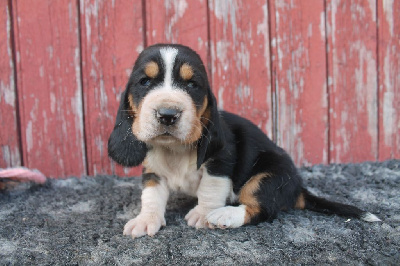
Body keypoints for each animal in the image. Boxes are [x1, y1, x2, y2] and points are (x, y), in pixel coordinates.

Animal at [107, 43, 382, 239]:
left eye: (192, 85)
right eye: (144, 82)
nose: (167, 114)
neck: (175, 150)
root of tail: (297, 189)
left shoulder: (221, 161)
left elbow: (210, 188)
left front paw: (203, 214)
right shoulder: (152, 171)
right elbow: (152, 195)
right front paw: (146, 219)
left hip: (268, 176)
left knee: (261, 209)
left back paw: (224, 215)